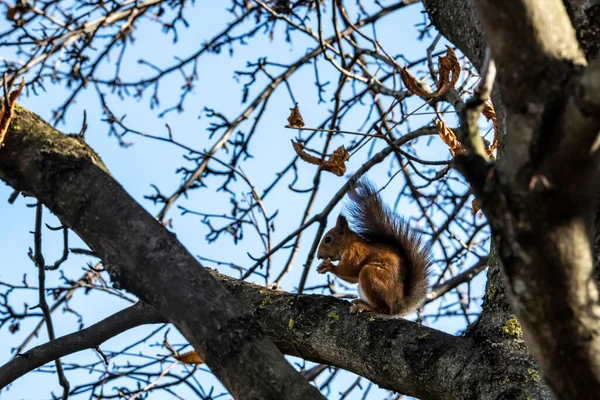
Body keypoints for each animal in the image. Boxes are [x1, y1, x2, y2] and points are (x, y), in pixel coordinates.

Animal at [316, 180, 428, 316]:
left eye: (328, 239)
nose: (318, 256)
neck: (348, 243)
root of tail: (397, 305)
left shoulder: (356, 253)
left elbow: (351, 270)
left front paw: (328, 266)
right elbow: (353, 278)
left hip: (371, 275)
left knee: (383, 309)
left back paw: (364, 307)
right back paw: (360, 301)